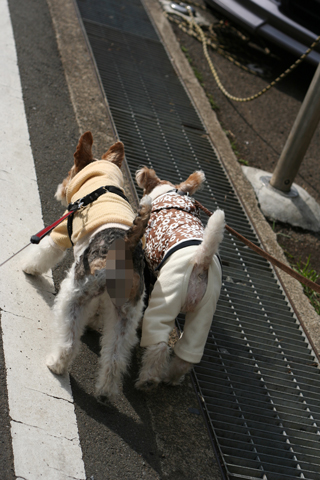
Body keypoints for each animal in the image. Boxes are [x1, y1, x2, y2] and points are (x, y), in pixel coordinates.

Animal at [21, 132, 151, 402]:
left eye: (70, 171)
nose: (60, 189)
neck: (101, 184)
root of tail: (126, 244)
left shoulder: (60, 230)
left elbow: (43, 251)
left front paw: (28, 267)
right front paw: (95, 320)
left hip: (75, 293)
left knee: (70, 340)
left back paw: (56, 364)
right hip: (127, 314)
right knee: (114, 357)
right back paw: (105, 392)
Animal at [134, 167, 224, 392]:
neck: (169, 193)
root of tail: (200, 261)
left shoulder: (150, 269)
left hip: (168, 295)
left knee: (159, 344)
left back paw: (148, 380)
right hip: (204, 312)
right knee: (186, 356)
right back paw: (172, 378)